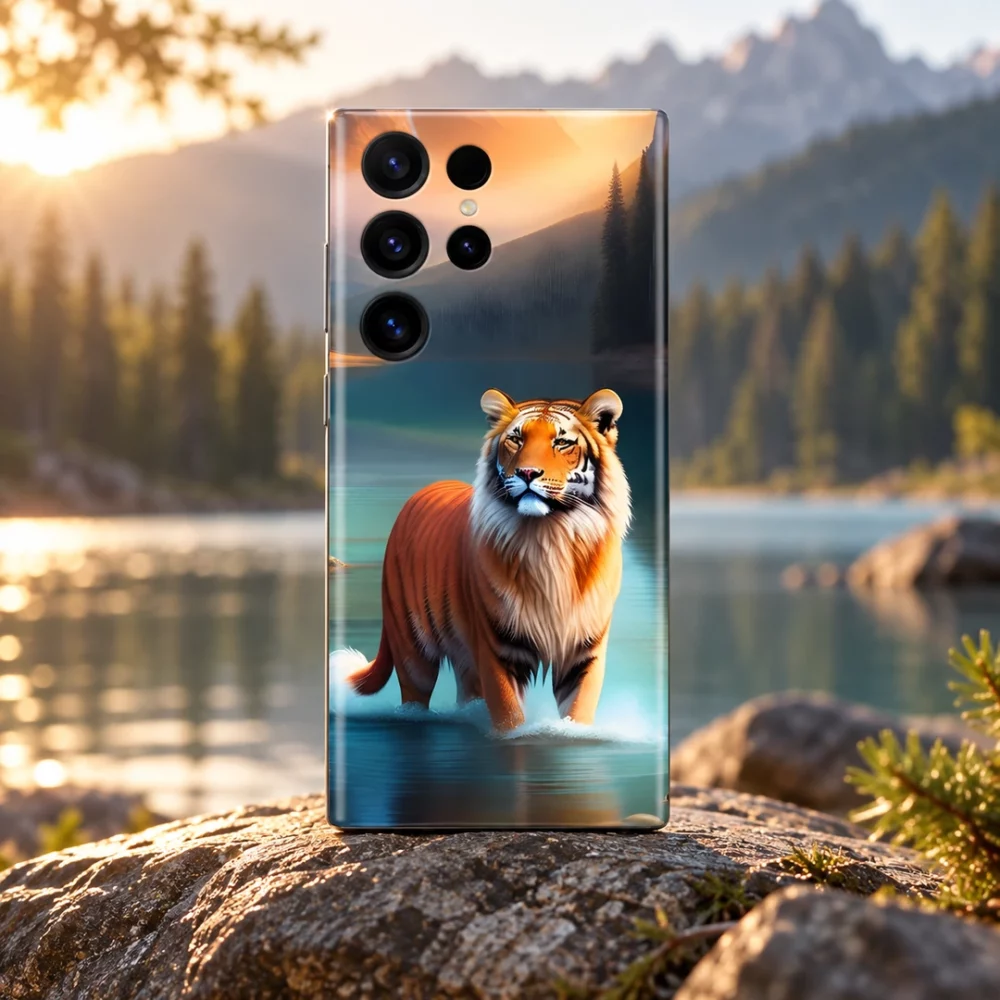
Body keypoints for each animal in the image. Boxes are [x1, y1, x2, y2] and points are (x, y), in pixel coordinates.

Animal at [332, 387, 631, 731]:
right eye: (516, 439)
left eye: (561, 442)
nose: (527, 473)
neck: (549, 536)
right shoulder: (497, 645)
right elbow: (509, 712)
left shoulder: (585, 649)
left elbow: (579, 707)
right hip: (412, 645)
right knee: (414, 692)